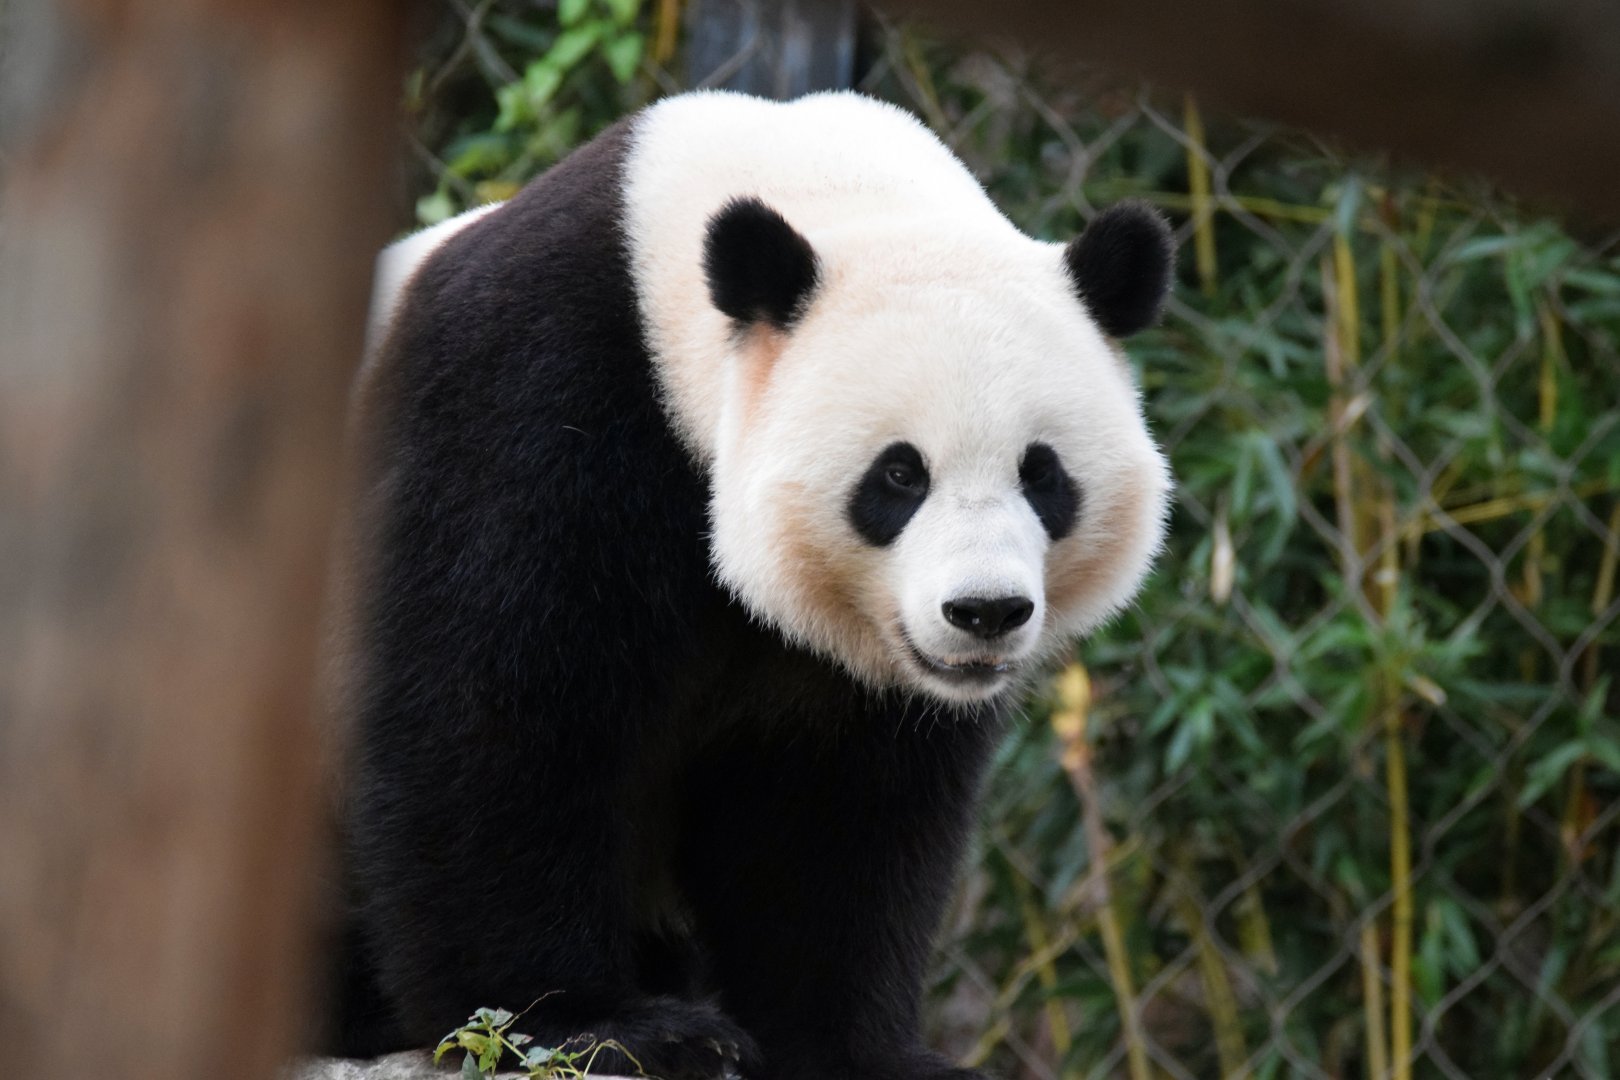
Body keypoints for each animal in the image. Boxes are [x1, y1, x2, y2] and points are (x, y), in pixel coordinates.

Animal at [333, 89, 1173, 1079]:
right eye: (899, 475)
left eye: (1043, 475)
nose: (984, 613)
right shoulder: (530, 405)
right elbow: (489, 714)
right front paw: (602, 1026)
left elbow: (832, 814)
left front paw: (851, 1047)